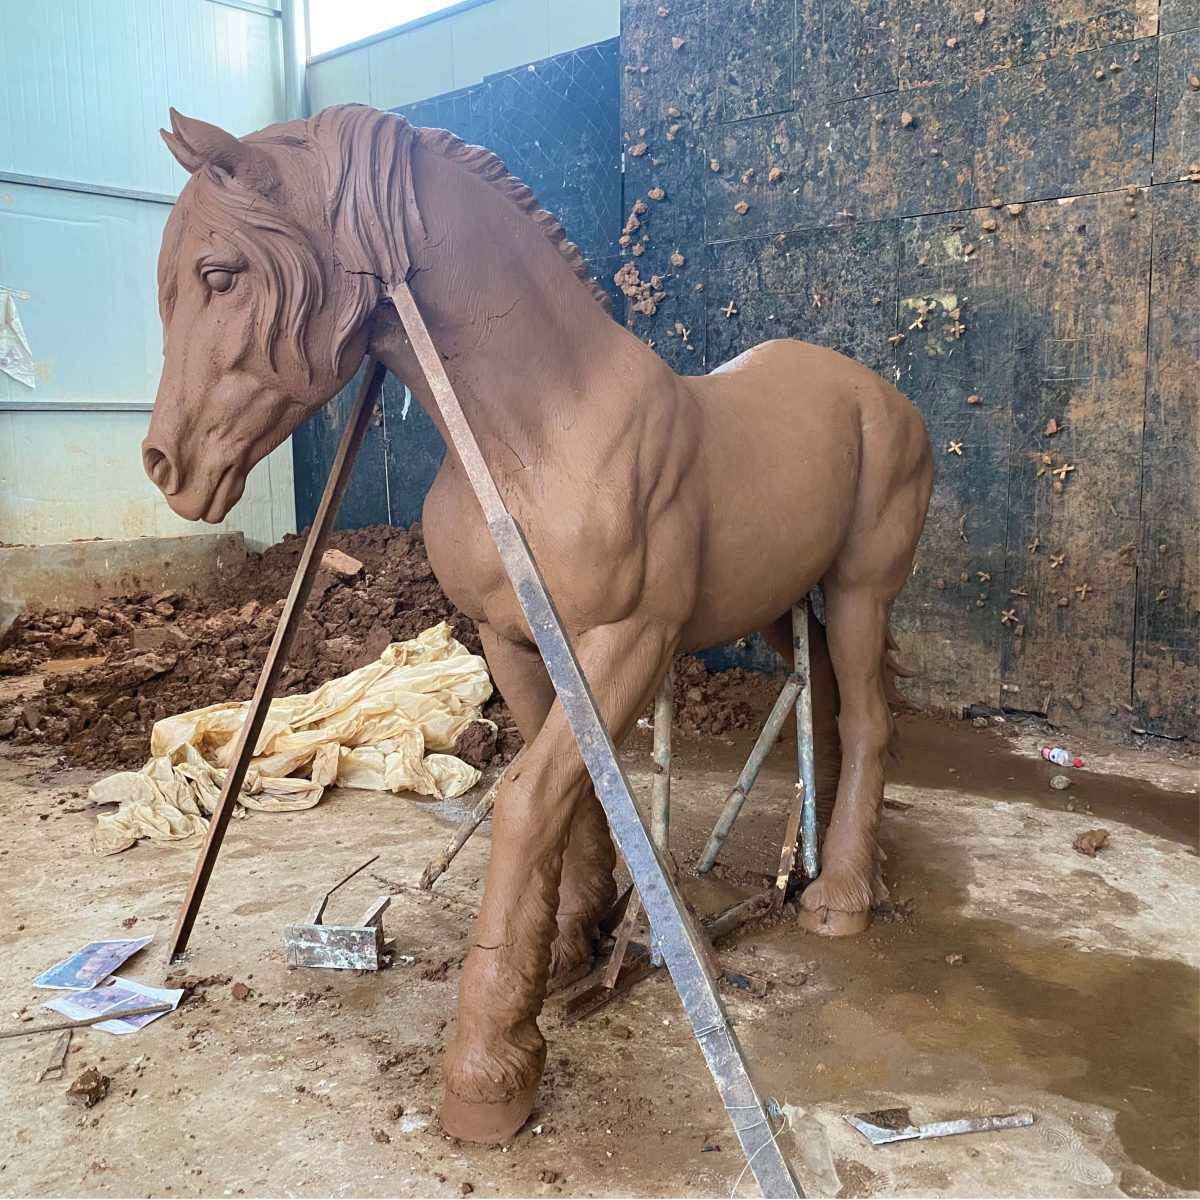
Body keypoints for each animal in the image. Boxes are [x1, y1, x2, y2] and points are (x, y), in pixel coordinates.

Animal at [145, 103, 933, 1144]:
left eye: (221, 273)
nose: (165, 465)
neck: (541, 435)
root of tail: (882, 396)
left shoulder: (627, 641)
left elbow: (528, 798)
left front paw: (492, 1065)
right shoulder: (515, 639)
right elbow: (580, 793)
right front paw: (572, 947)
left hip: (856, 592)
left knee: (874, 718)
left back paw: (839, 898)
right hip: (783, 604)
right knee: (841, 715)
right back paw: (842, 862)